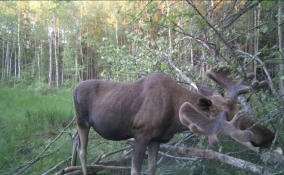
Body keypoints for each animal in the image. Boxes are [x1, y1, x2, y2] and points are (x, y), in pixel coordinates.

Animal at [71, 67, 280, 175]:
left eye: (237, 109)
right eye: (232, 117)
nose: (269, 137)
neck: (173, 119)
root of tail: (74, 87)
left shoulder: (156, 139)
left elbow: (153, 168)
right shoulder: (141, 134)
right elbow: (136, 170)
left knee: (78, 146)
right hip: (82, 121)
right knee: (82, 151)